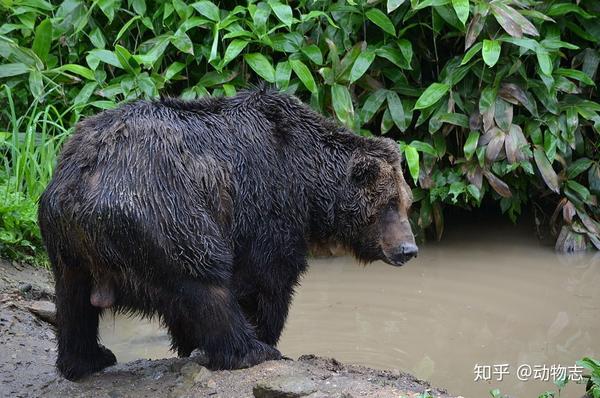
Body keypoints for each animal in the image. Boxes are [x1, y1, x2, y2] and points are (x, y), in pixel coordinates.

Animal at [36, 87, 412, 380]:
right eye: (389, 204)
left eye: (406, 202)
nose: (408, 249)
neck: (308, 181)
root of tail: (81, 185)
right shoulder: (268, 203)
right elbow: (269, 278)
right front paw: (267, 335)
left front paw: (189, 343)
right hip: (165, 209)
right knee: (204, 280)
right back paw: (250, 350)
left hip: (65, 242)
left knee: (72, 301)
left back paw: (88, 359)